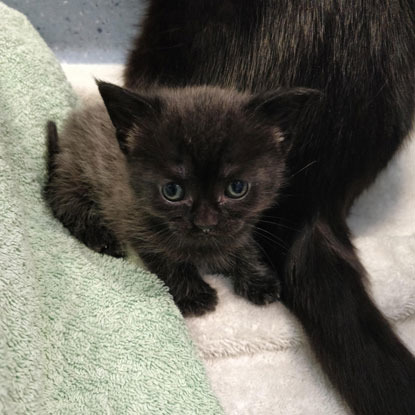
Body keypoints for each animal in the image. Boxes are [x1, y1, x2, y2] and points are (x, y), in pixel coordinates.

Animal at [45, 83, 316, 316]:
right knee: (63, 199)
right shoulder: (133, 216)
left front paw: (257, 278)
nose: (206, 223)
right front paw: (194, 295)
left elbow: (242, 243)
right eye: (172, 191)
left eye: (237, 188)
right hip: (76, 173)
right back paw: (101, 237)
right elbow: (166, 257)